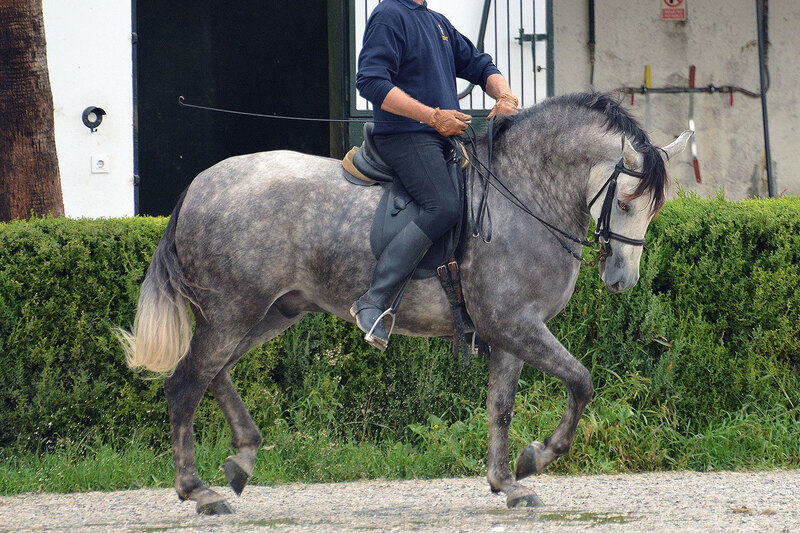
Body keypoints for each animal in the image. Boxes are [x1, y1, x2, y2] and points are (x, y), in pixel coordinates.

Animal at [117, 92, 691, 514]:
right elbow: (581, 381)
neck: (523, 195)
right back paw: (199, 491)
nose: (623, 280)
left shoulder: (510, 333)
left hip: (267, 313)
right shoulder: (515, 324)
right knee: (186, 383)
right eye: (625, 202)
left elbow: (500, 407)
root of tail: (200, 185)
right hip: (233, 312)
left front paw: (506, 482)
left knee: (213, 374)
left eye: (656, 208)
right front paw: (536, 458)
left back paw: (241, 460)